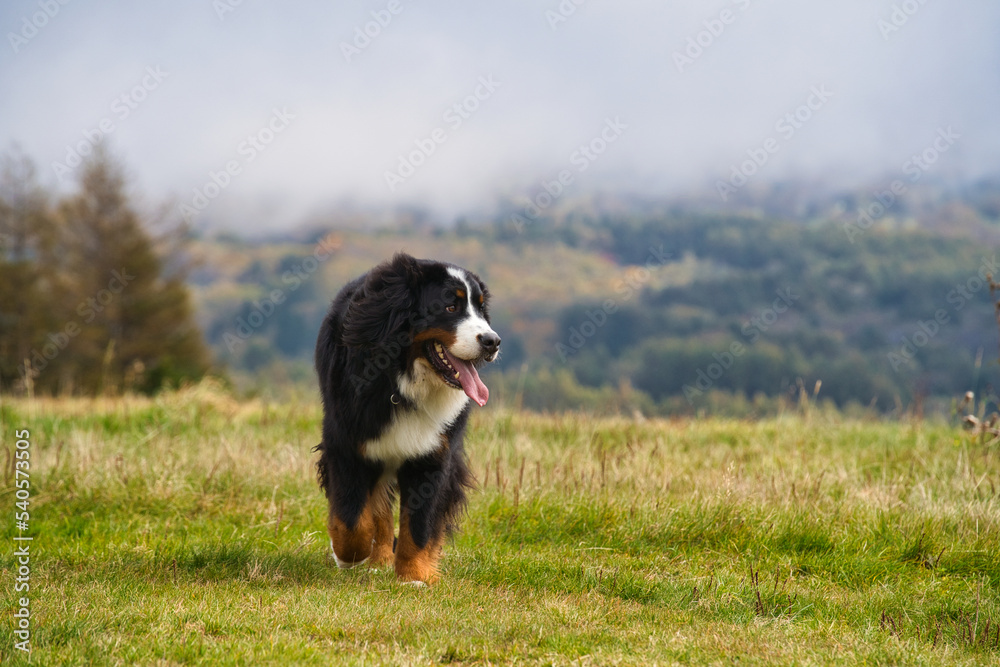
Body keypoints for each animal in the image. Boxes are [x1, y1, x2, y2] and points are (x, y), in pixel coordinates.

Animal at [312, 253, 500, 588]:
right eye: (450, 307)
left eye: (480, 309)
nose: (493, 341)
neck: (405, 383)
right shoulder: (347, 443)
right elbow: (352, 518)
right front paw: (348, 556)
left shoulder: (433, 454)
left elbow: (419, 522)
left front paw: (415, 576)